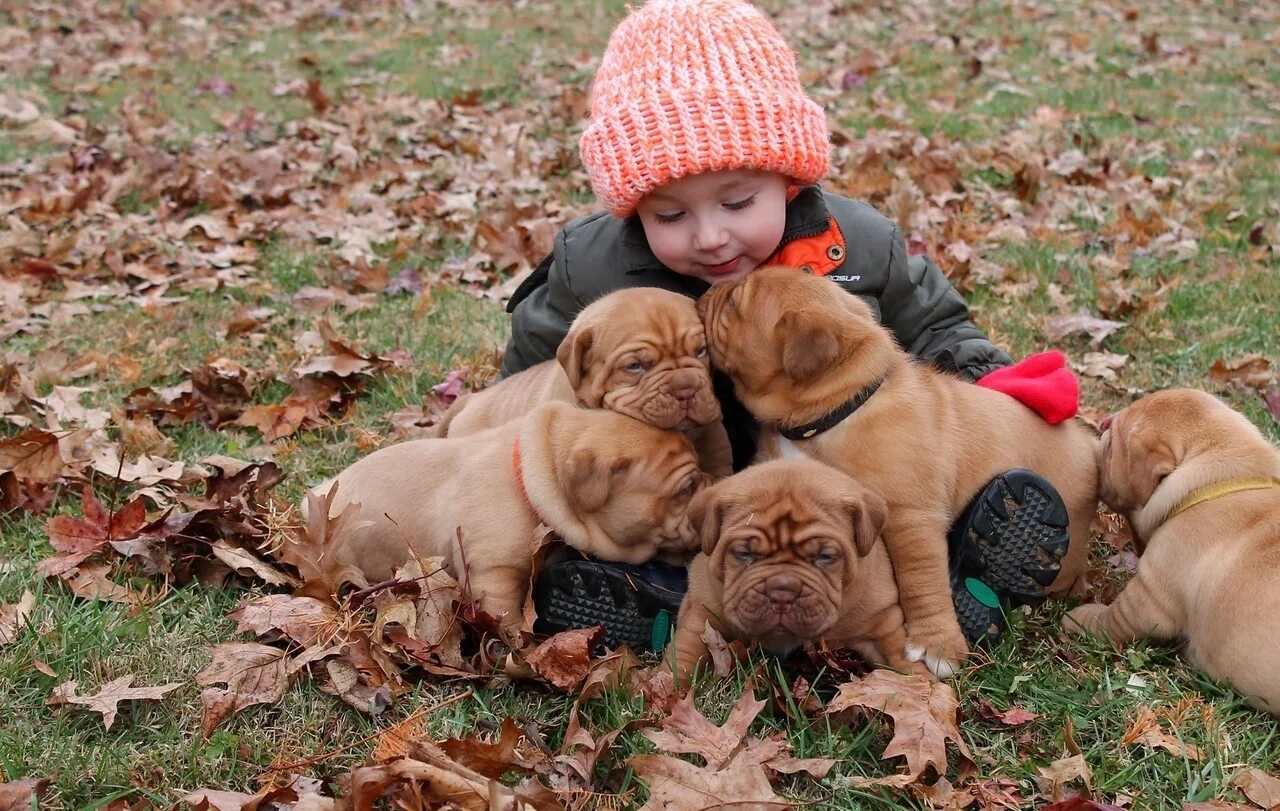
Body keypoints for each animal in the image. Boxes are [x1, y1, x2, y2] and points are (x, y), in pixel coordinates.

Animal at [670, 457, 931, 680]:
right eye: (745, 554)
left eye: (825, 557)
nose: (782, 592)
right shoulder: (701, 614)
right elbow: (682, 660)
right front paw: (668, 689)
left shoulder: (881, 621)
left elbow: (901, 658)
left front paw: (923, 693)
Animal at [701, 267, 1100, 675]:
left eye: (734, 302)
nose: (710, 290)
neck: (837, 410)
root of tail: (1089, 444)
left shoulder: (911, 518)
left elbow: (921, 581)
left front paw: (937, 645)